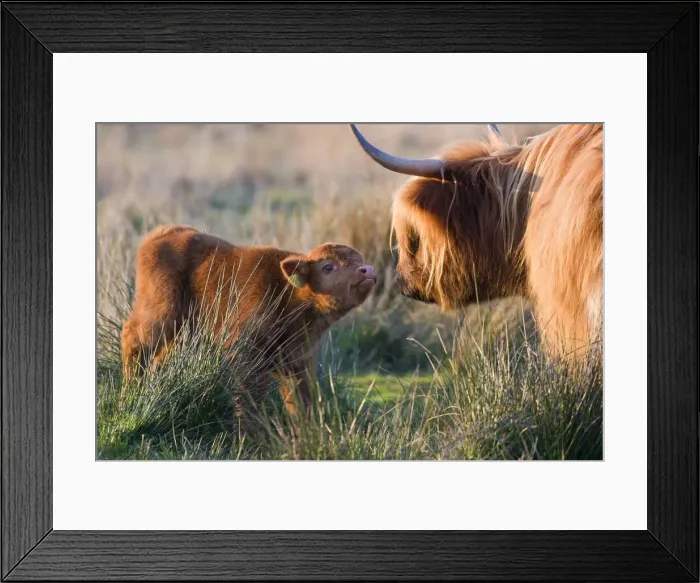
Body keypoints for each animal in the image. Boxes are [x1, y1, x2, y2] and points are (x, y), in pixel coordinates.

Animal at [120, 225, 377, 417]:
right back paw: (130, 395)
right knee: (134, 341)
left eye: (360, 259)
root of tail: (163, 233)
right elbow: (250, 400)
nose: (367, 270)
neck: (287, 293)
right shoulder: (246, 357)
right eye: (328, 267)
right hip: (161, 313)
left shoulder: (298, 363)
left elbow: (300, 403)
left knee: (161, 356)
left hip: (183, 329)